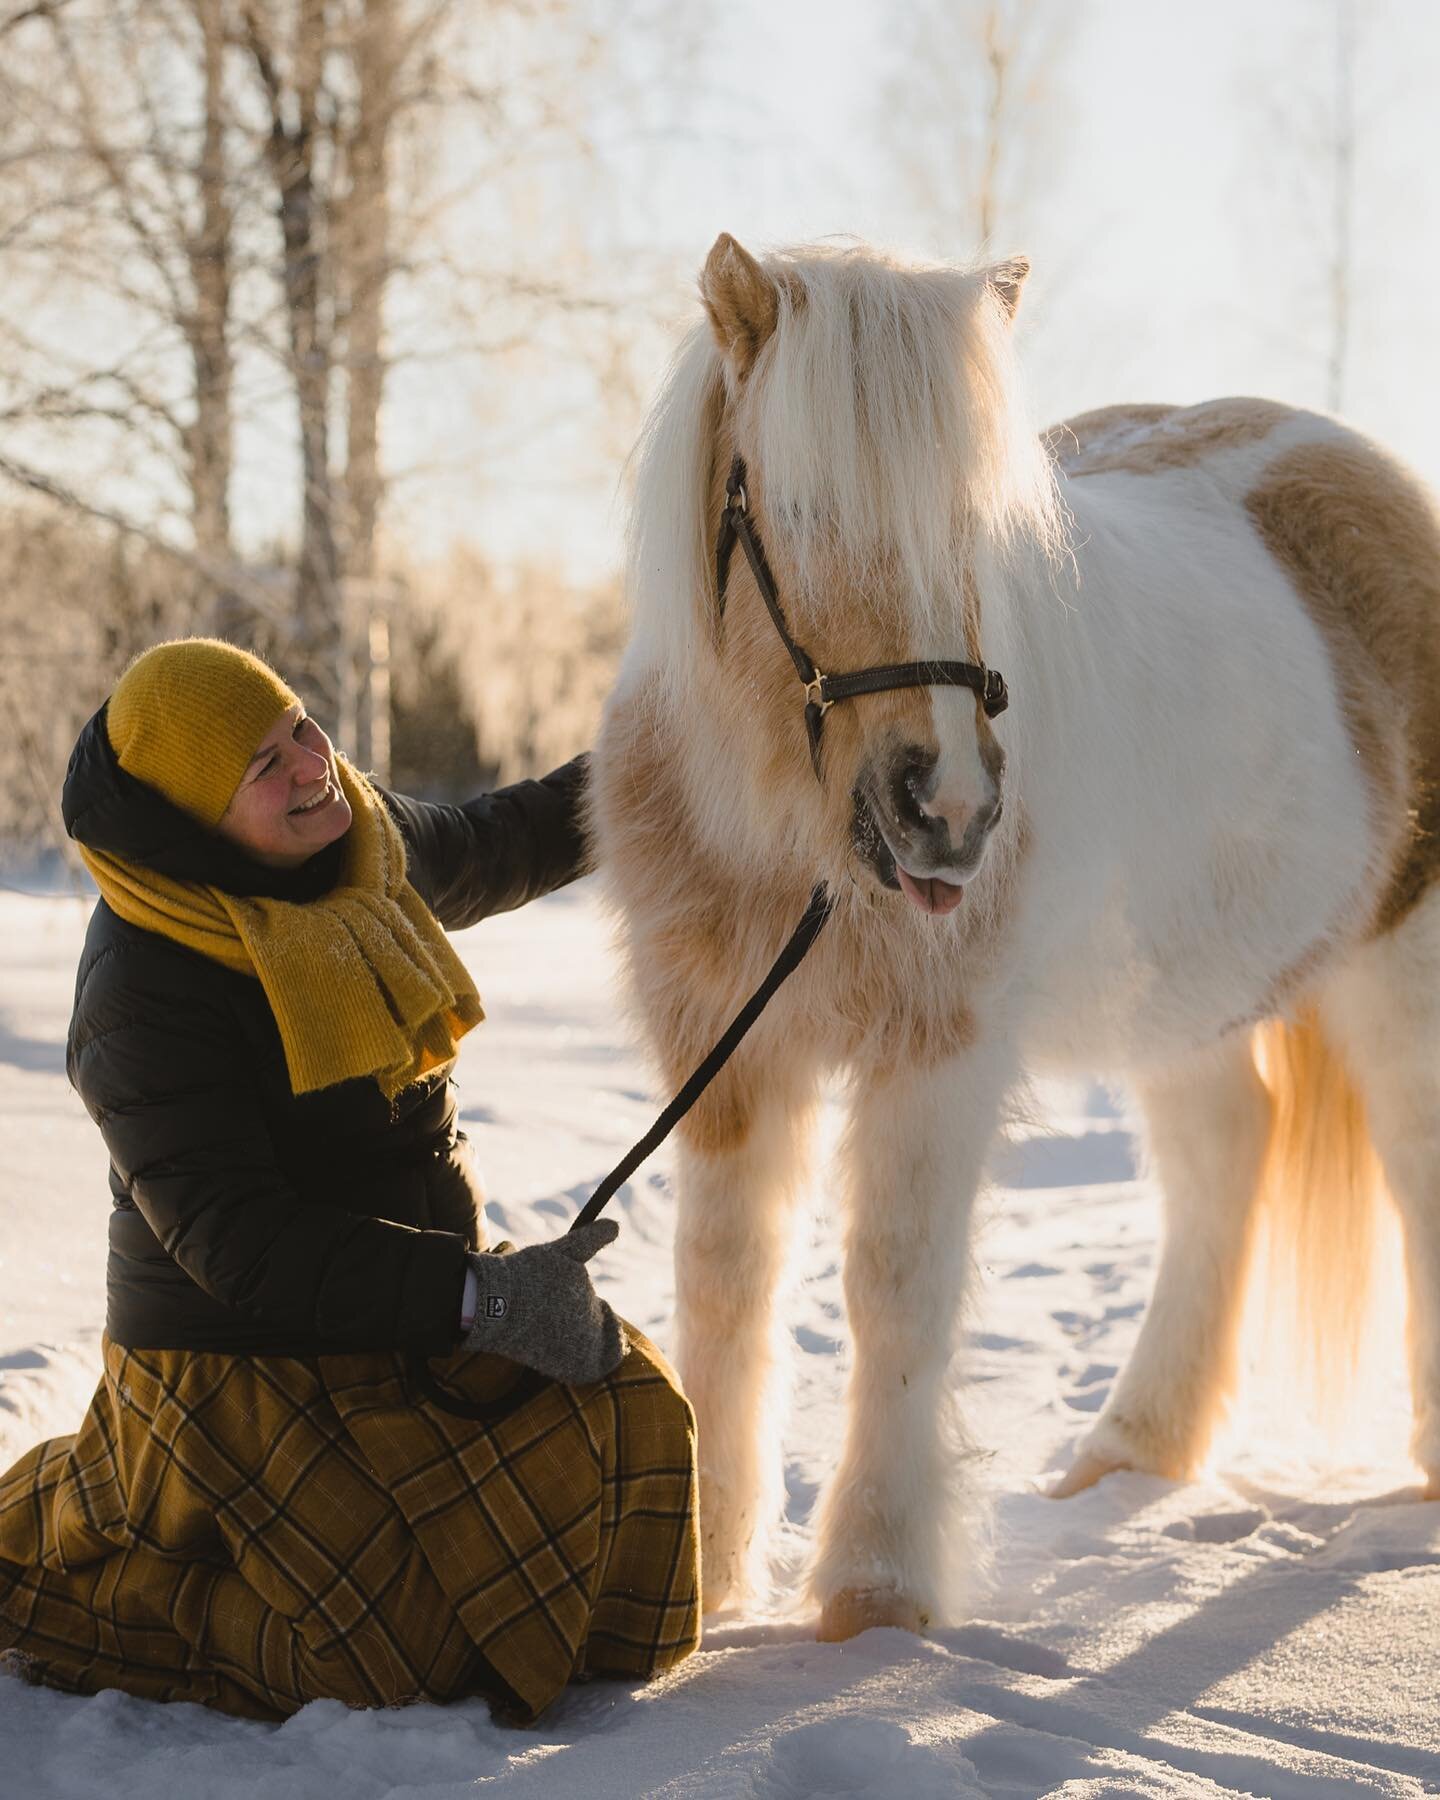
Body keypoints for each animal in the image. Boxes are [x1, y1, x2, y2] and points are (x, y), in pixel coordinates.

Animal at [583, 232, 1440, 1641]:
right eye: (799, 508)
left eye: (978, 527)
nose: (947, 809)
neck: (791, 840)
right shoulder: (723, 1048)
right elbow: (724, 1285)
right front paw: (704, 1582)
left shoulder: (937, 1057)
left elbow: (894, 1290)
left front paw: (874, 1587)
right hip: (1185, 994)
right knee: (1225, 1156)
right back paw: (1131, 1451)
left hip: (1395, 970)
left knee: (1412, 1160)